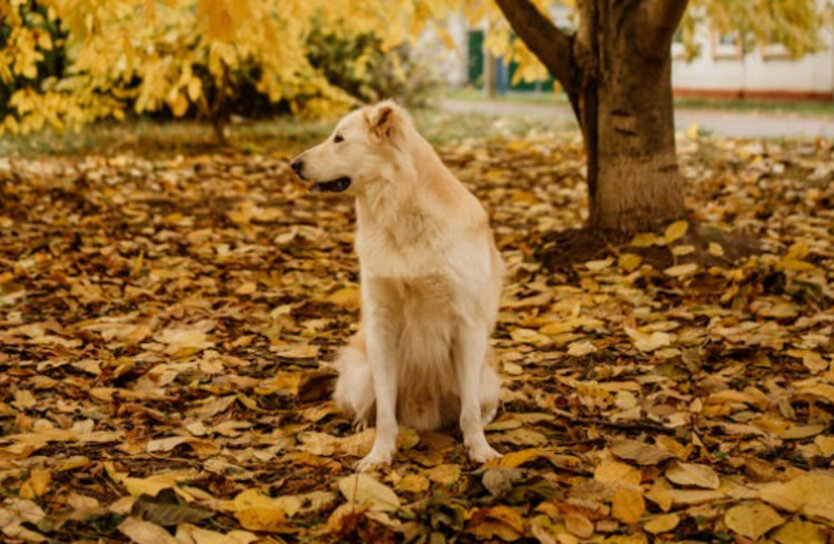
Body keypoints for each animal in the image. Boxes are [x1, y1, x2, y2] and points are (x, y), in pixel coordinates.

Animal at [290, 103, 504, 472]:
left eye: (339, 139)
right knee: (369, 405)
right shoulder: (382, 324)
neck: (401, 216)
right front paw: (379, 454)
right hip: (361, 375)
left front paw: (479, 449)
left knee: (478, 404)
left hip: (486, 378)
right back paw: (362, 424)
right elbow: (386, 412)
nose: (294, 164)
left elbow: (470, 412)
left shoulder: (468, 326)